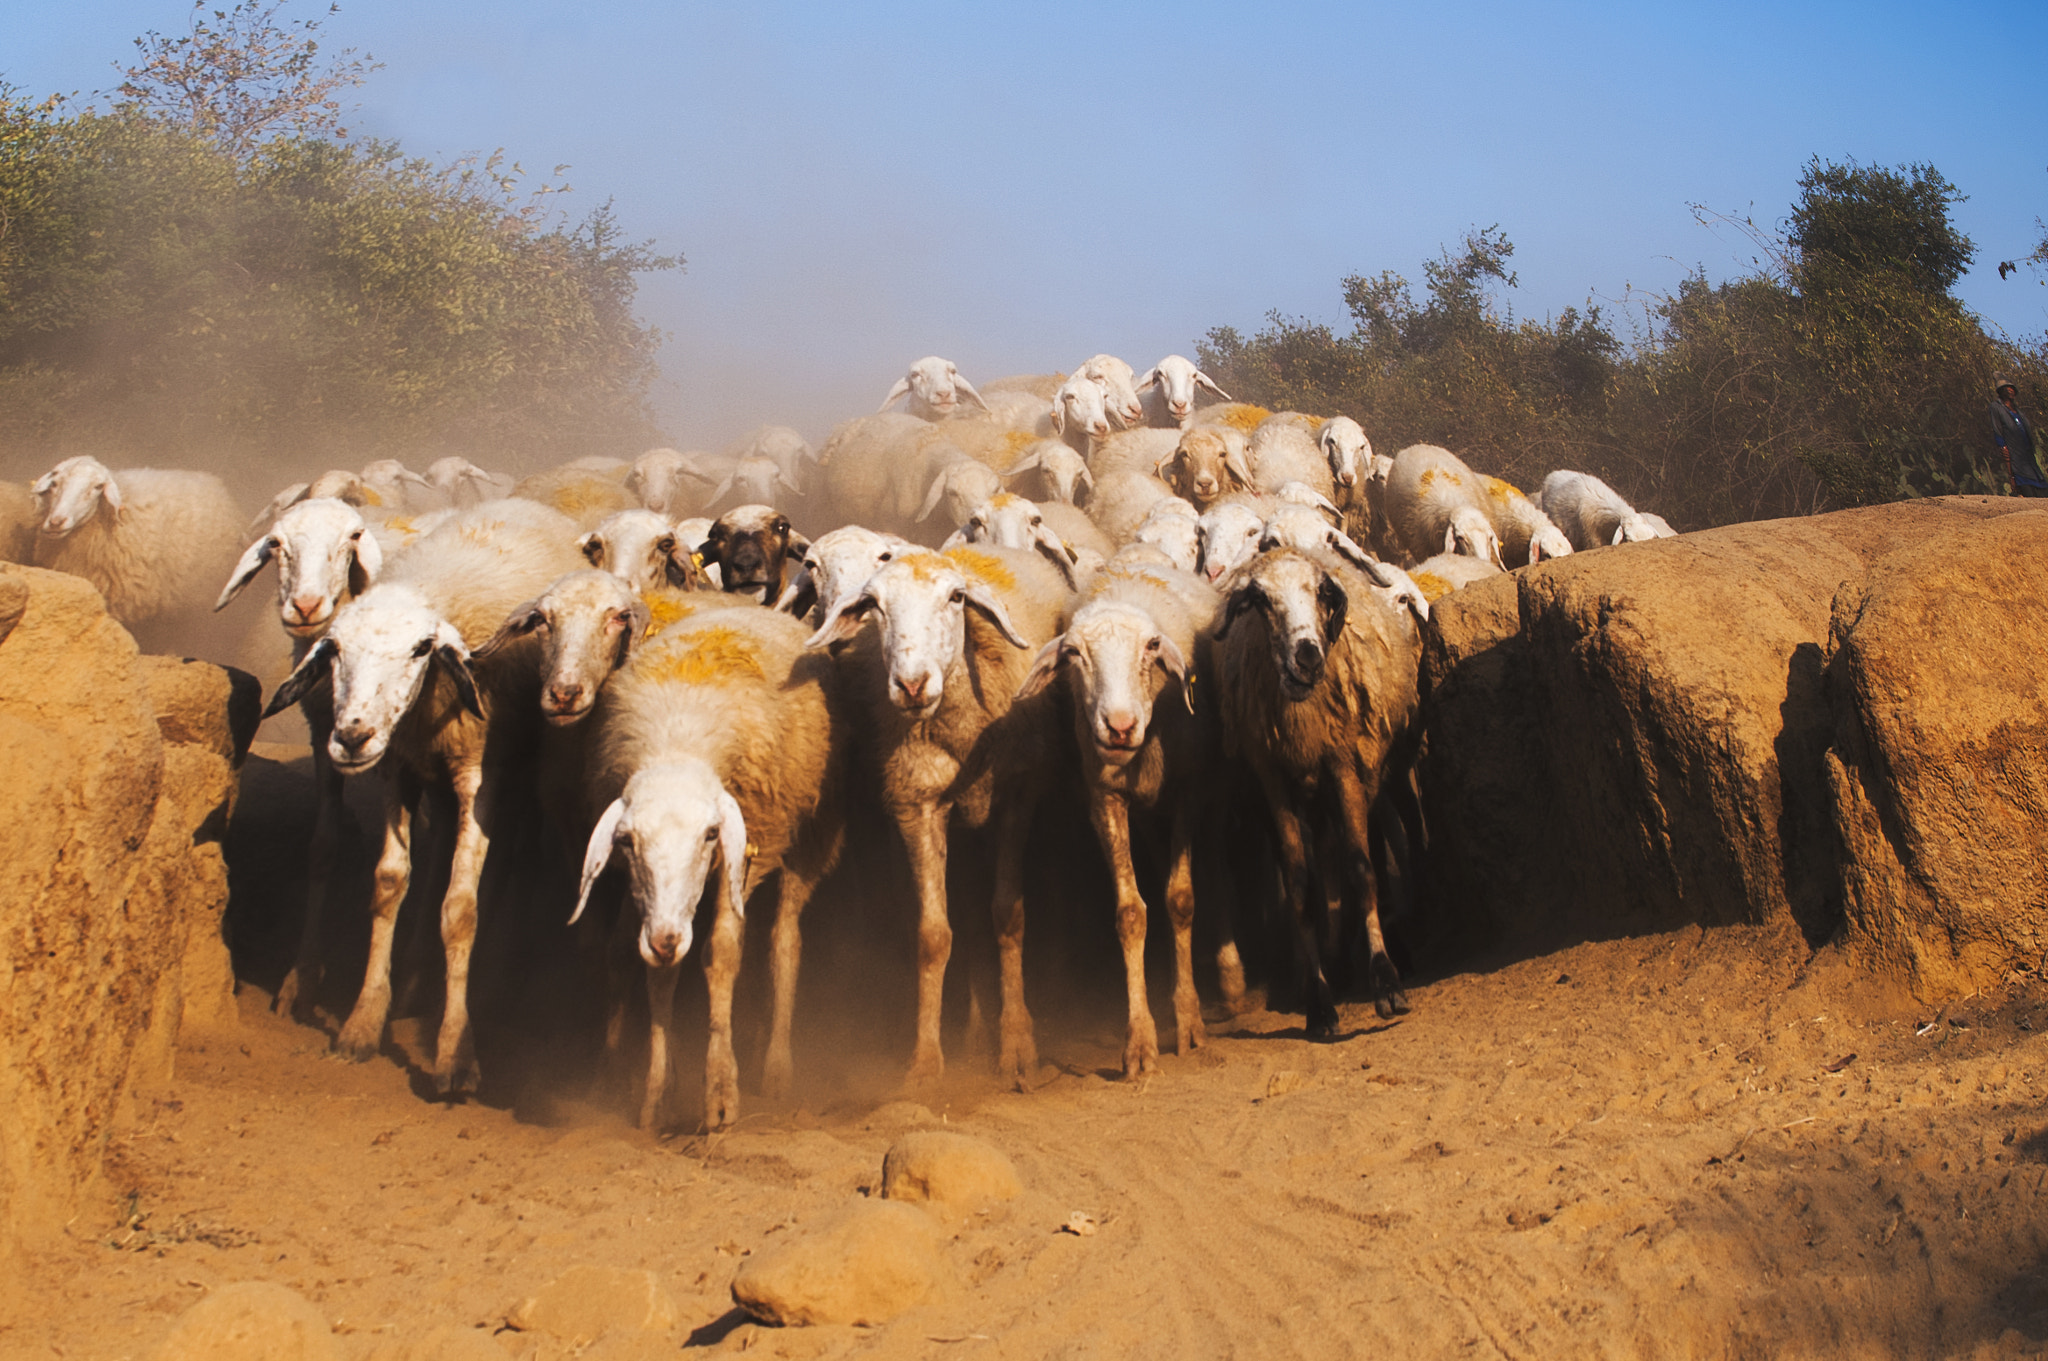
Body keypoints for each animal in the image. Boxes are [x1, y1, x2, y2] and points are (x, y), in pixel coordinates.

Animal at [260, 499, 585, 1096]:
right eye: (335, 651)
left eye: (419, 649)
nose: (352, 737)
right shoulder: (399, 768)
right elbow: (389, 883)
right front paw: (365, 1020)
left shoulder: (480, 775)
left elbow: (459, 908)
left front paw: (455, 1052)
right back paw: (413, 983)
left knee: (514, 859)